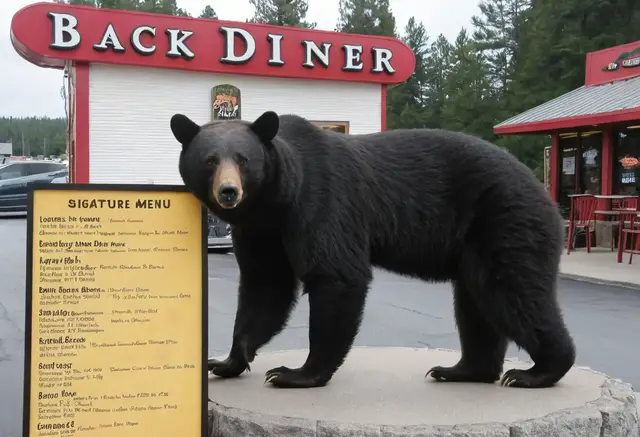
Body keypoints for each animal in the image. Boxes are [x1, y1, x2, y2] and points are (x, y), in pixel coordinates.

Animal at [169, 110, 576, 390]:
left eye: (243, 160)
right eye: (210, 160)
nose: (228, 192)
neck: (274, 202)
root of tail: (547, 195)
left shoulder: (322, 201)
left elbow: (336, 275)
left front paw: (294, 373)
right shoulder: (260, 231)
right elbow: (264, 286)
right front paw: (226, 361)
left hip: (506, 222)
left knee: (513, 292)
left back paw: (537, 371)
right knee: (477, 303)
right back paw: (461, 369)